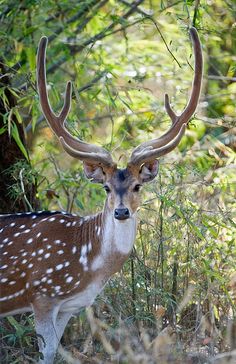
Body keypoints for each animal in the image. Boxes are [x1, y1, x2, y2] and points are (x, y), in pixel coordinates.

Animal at [0, 28, 203, 364]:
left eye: (137, 186)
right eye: (106, 187)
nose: (121, 212)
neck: (88, 266)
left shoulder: (68, 306)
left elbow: (54, 350)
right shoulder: (41, 293)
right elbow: (45, 352)